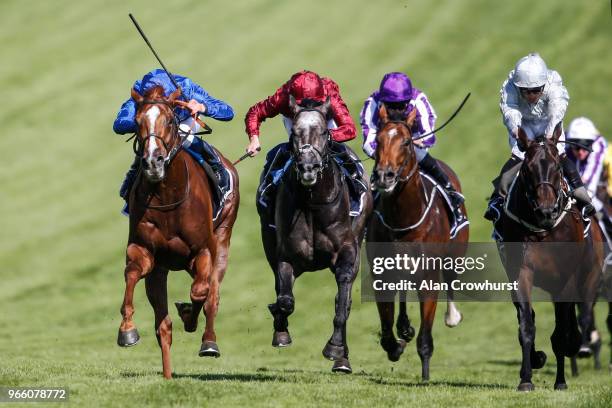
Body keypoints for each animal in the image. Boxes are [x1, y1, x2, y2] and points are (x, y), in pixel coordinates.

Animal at [116, 86, 240, 380]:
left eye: (170, 121)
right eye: (137, 122)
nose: (153, 162)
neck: (167, 196)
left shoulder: (203, 251)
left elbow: (200, 292)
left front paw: (190, 317)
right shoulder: (144, 251)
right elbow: (132, 273)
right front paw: (127, 331)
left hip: (222, 240)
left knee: (212, 295)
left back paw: (208, 342)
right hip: (162, 270)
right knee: (164, 327)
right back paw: (168, 375)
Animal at [258, 95, 372, 372]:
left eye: (322, 132)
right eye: (295, 134)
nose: (308, 167)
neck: (311, 203)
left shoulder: (347, 252)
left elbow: (342, 302)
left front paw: (335, 349)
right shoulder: (286, 255)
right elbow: (285, 299)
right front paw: (280, 330)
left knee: (345, 300)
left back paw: (342, 359)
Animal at [368, 104, 468, 380]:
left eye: (405, 142)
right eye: (379, 139)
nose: (384, 176)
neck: (404, 217)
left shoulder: (429, 276)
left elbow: (425, 336)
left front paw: (425, 374)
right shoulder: (382, 272)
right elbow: (386, 329)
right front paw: (396, 344)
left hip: (455, 255)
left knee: (451, 281)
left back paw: (452, 316)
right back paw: (403, 328)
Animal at [494, 125, 604, 392]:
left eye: (557, 168)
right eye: (527, 169)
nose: (546, 211)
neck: (543, 230)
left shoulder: (566, 279)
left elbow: (562, 332)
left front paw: (561, 381)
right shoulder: (521, 272)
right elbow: (526, 324)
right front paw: (526, 378)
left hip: (589, 276)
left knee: (582, 314)